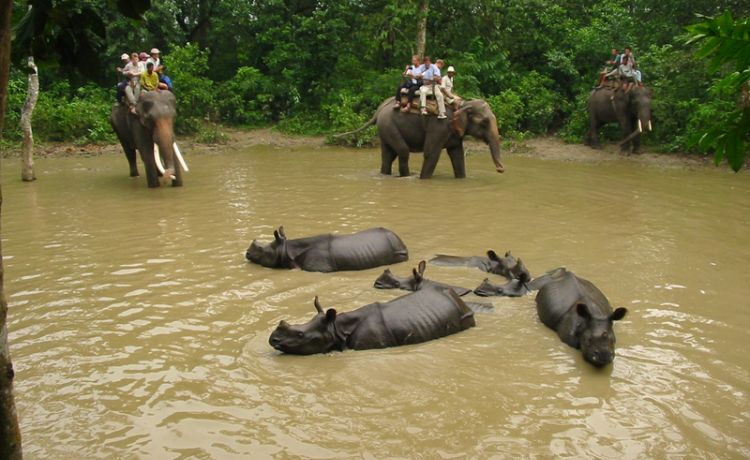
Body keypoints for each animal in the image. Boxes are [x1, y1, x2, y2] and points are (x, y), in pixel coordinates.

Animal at [336, 99, 506, 178]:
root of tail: (378, 111)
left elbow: (457, 156)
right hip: (389, 126)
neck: (462, 103)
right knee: (403, 152)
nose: (500, 169)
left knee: (388, 156)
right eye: (484, 122)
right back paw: (406, 177)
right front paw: (423, 180)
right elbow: (431, 154)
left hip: (384, 130)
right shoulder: (439, 126)